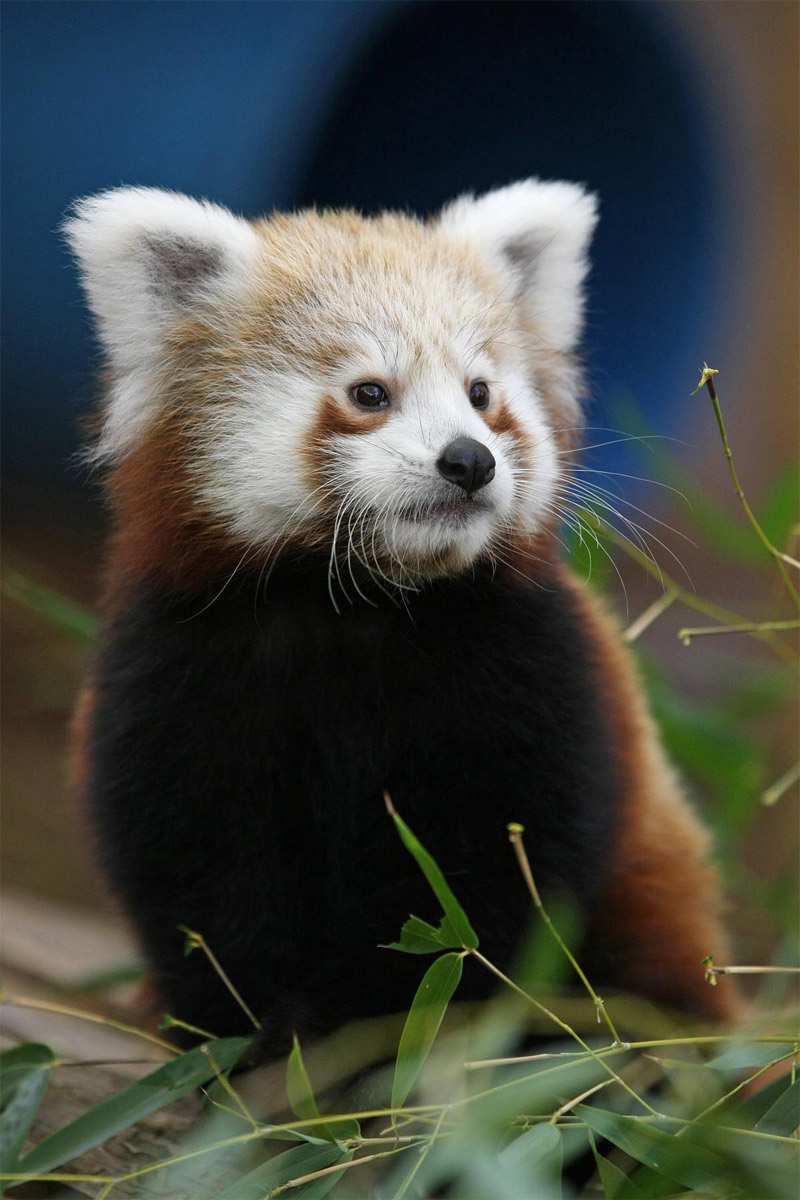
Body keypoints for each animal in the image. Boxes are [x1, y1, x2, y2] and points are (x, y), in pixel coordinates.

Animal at [67, 182, 738, 1056]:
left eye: (480, 393)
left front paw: (405, 1029)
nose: (470, 460)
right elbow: (201, 881)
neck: (355, 608)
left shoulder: (529, 675)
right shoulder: (179, 676)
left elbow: (492, 889)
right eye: (369, 393)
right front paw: (249, 1035)